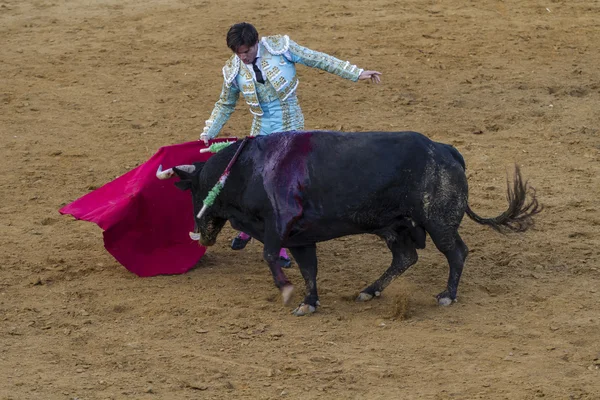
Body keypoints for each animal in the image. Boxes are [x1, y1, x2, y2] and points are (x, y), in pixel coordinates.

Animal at [157, 131, 540, 316]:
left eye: (193, 192)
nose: (200, 235)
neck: (243, 170)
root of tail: (445, 149)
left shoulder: (278, 228)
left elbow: (270, 256)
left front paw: (287, 292)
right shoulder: (299, 238)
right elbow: (309, 269)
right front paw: (308, 302)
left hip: (438, 223)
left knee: (456, 252)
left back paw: (447, 295)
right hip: (395, 226)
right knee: (406, 257)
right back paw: (368, 290)